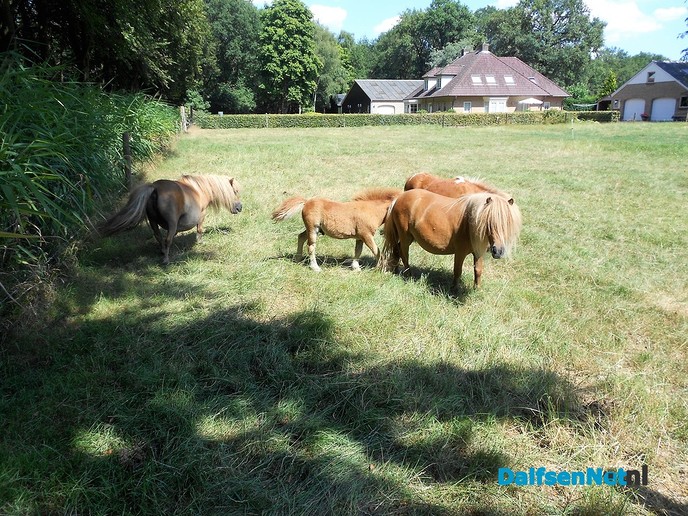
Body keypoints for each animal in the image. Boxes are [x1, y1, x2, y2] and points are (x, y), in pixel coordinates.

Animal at [99, 174, 242, 264]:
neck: (199, 189)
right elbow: (200, 229)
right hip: (171, 222)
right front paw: (200, 242)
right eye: (235, 191)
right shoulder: (202, 215)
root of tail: (154, 188)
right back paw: (166, 260)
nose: (240, 207)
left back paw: (162, 252)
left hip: (153, 222)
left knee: (159, 237)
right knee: (167, 240)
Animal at [271, 188, 402, 271]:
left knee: (301, 237)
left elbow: (358, 251)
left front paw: (356, 268)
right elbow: (376, 251)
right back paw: (315, 267)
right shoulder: (366, 235)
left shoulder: (360, 237)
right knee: (311, 246)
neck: (371, 210)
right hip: (313, 229)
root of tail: (307, 202)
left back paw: (298, 259)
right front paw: (382, 268)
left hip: (312, 229)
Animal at [379, 189, 522, 289]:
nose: (498, 251)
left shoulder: (478, 252)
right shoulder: (460, 253)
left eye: (508, 223)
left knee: (396, 250)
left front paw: (477, 289)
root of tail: (398, 198)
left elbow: (478, 271)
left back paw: (396, 270)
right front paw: (454, 289)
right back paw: (408, 274)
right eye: (489, 222)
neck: (468, 223)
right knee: (404, 254)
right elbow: (457, 271)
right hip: (405, 237)